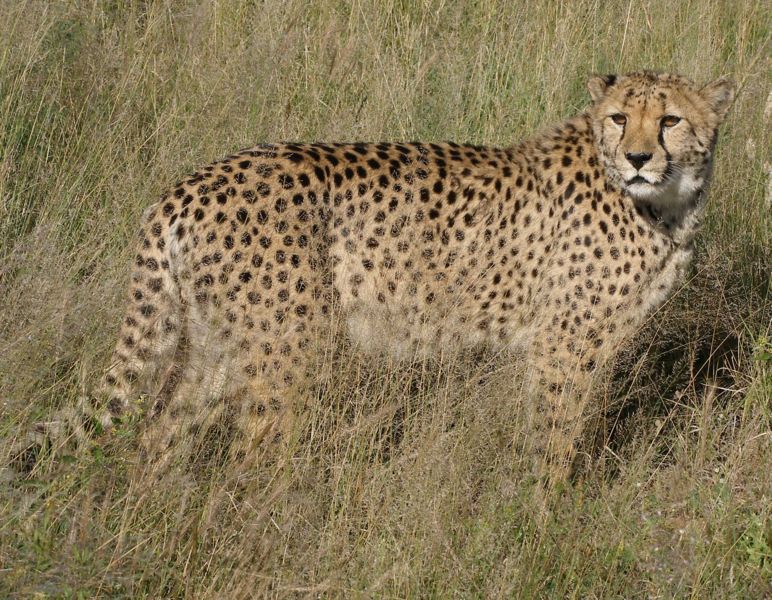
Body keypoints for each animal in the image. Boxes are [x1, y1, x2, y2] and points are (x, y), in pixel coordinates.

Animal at [18, 72, 732, 488]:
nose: (638, 157)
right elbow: (552, 442)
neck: (666, 204)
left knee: (161, 430)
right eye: (619, 117)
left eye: (670, 120)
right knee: (248, 457)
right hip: (284, 350)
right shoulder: (563, 347)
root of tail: (190, 183)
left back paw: (152, 513)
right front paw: (541, 522)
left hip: (219, 344)